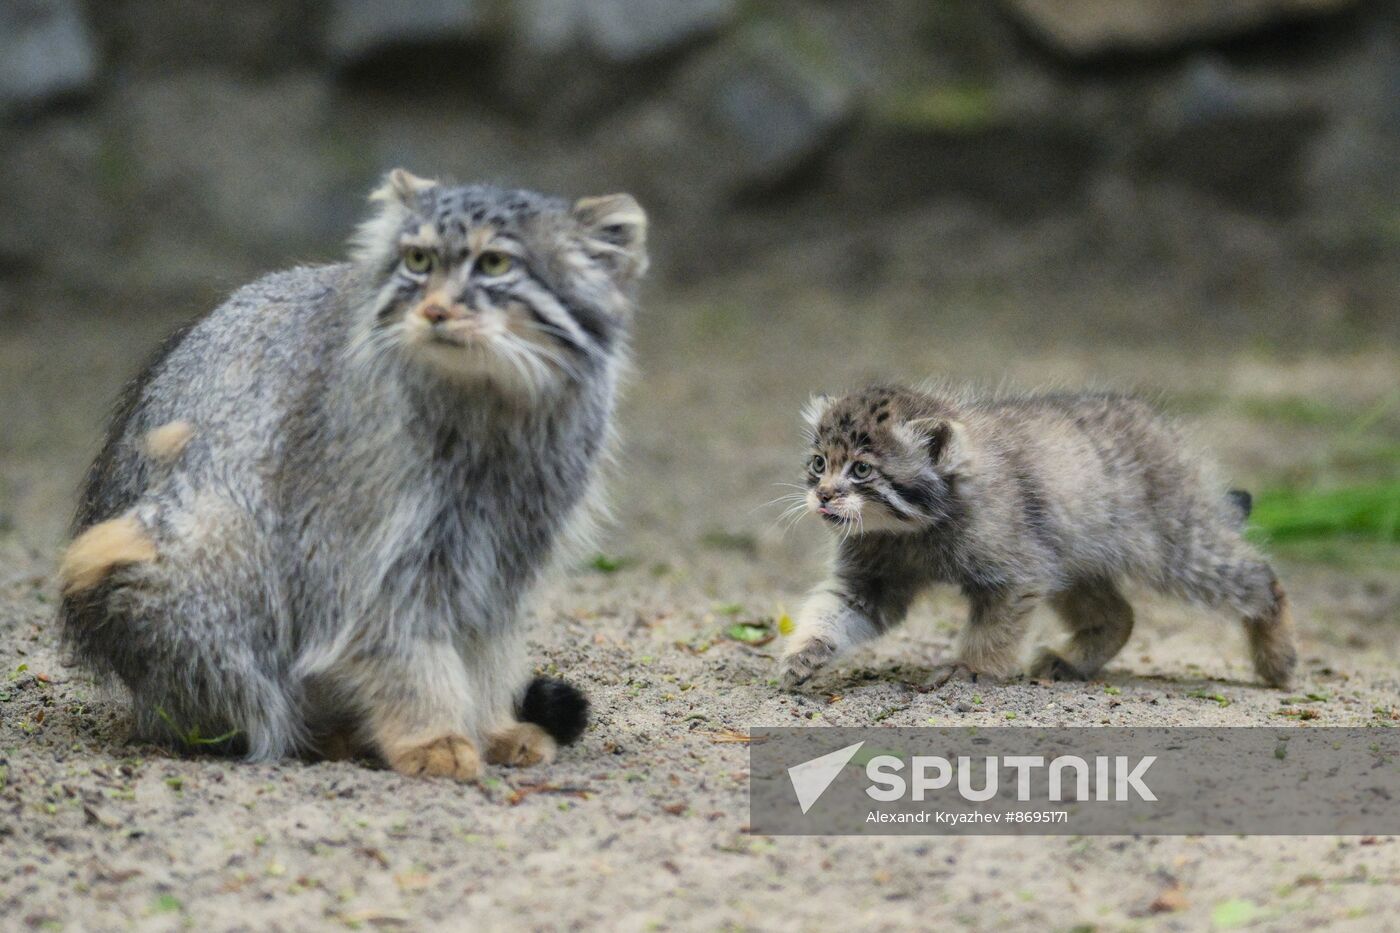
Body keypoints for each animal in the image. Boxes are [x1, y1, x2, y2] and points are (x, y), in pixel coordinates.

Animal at [57, 168, 641, 778]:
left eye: (495, 263)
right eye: (417, 260)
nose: (434, 312)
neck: (492, 411)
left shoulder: (506, 549)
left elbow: (485, 645)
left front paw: (490, 725)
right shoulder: (362, 553)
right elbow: (396, 641)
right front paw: (432, 735)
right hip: (201, 540)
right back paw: (321, 735)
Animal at [784, 381, 1293, 689]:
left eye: (861, 470)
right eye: (818, 463)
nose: (823, 495)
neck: (909, 531)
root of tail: (1164, 430)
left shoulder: (1014, 576)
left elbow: (991, 632)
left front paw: (970, 668)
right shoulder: (868, 583)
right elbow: (829, 612)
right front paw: (805, 653)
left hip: (1176, 548)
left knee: (1262, 576)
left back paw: (1279, 661)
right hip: (1071, 561)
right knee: (1121, 614)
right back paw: (1068, 663)